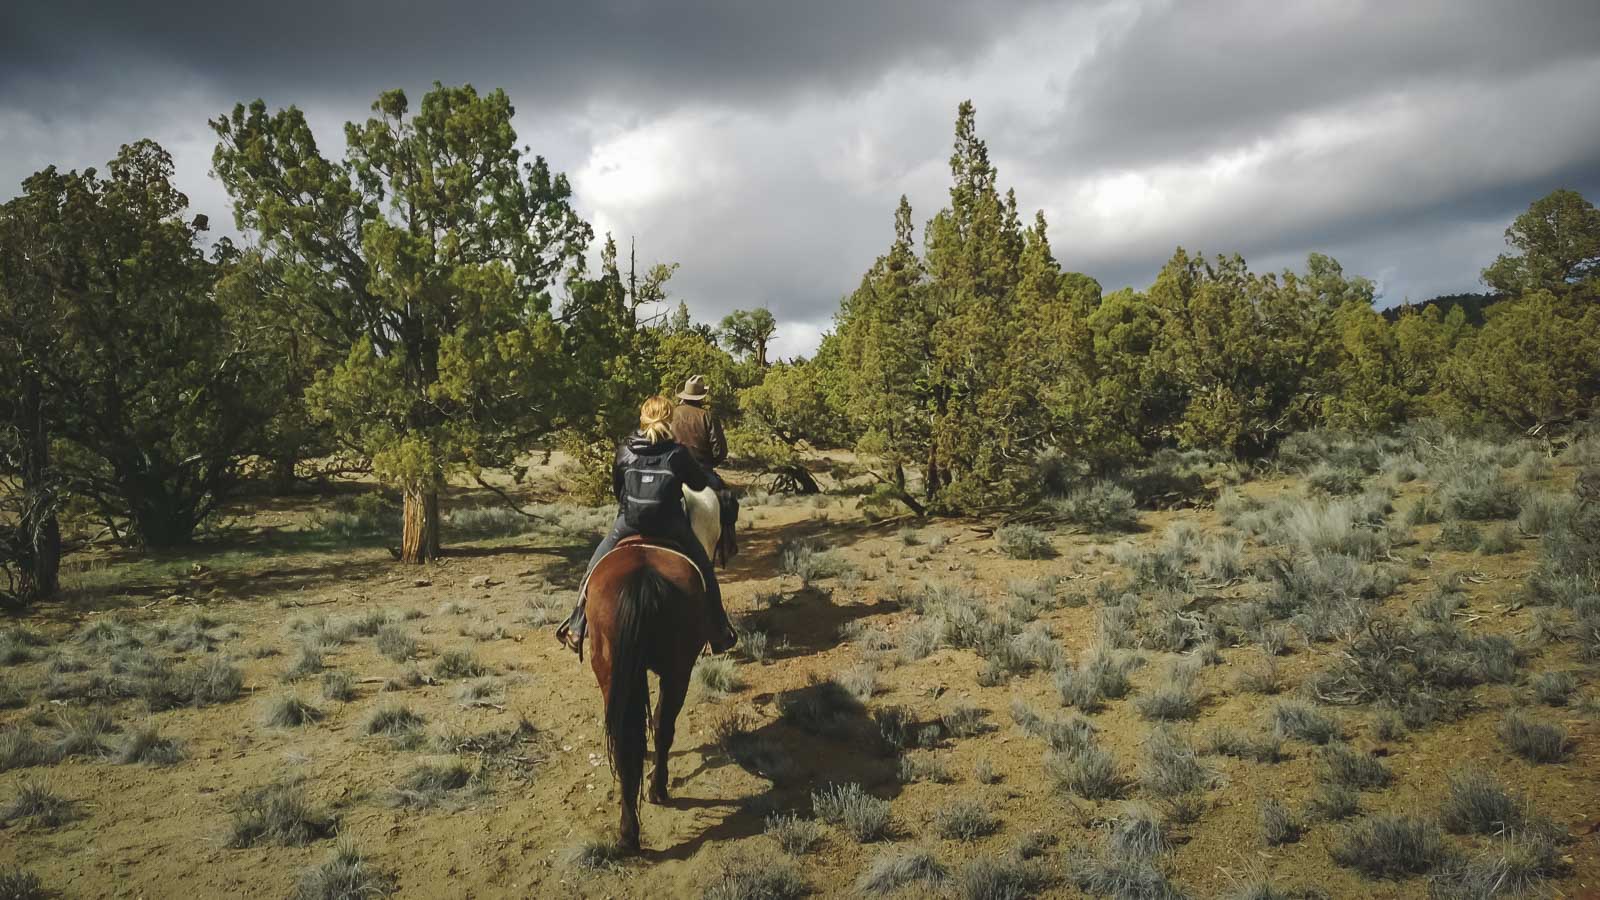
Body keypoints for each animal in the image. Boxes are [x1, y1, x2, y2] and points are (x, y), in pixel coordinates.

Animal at [585, 534, 710, 851]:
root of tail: (642, 580)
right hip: (676, 670)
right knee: (658, 729)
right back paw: (653, 795)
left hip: (614, 671)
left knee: (630, 739)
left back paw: (630, 830)